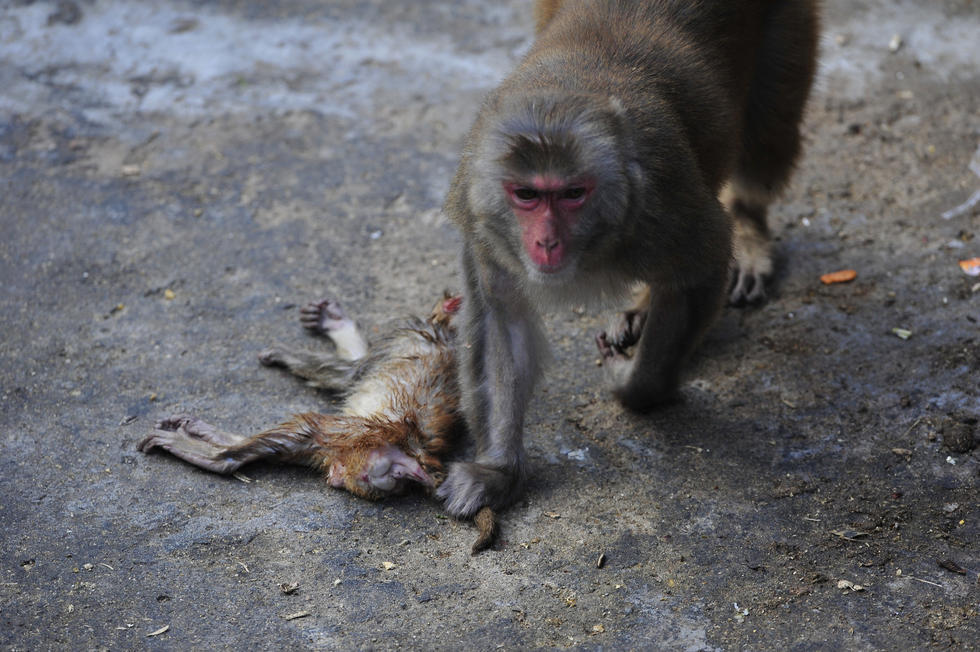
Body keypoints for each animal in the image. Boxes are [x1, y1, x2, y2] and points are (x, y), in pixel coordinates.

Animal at [139, 296, 498, 556]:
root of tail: (414, 455)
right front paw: (335, 321)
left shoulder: (405, 339)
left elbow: (343, 374)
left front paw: (289, 352)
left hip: (355, 435)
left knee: (303, 430)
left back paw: (213, 453)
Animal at [438, 1, 820, 520]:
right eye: (527, 195)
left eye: (573, 194)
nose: (546, 243)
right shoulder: (484, 225)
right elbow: (502, 320)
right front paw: (496, 471)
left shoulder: (661, 202)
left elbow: (701, 268)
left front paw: (633, 383)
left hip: (787, 22)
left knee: (766, 135)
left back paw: (746, 228)